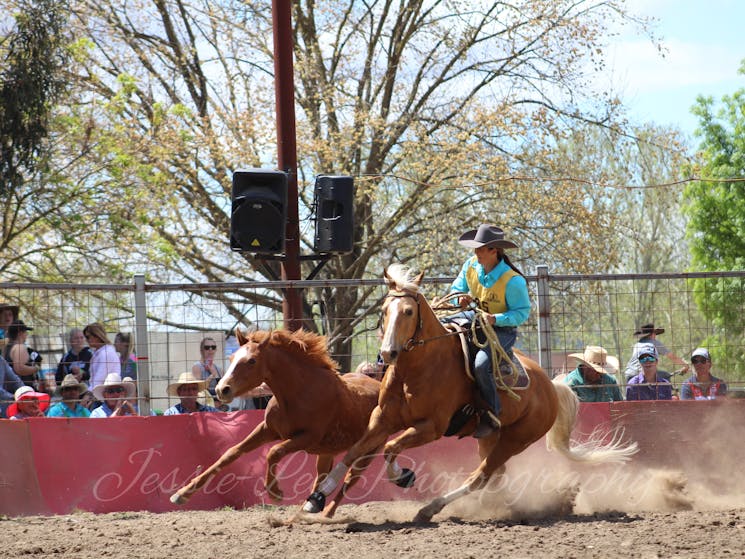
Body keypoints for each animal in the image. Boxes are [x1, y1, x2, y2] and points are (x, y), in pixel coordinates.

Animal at [169, 328, 378, 508]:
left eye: (252, 361)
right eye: (231, 358)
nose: (222, 389)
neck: (299, 393)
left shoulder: (308, 437)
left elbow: (274, 452)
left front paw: (275, 492)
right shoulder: (266, 429)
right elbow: (231, 453)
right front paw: (182, 493)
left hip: (365, 452)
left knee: (349, 479)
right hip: (326, 452)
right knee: (322, 477)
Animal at [306, 264, 636, 524]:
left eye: (409, 311)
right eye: (385, 310)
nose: (388, 352)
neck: (418, 370)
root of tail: (550, 386)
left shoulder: (431, 428)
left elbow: (389, 449)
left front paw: (404, 475)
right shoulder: (381, 420)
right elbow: (354, 455)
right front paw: (318, 499)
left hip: (517, 439)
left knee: (481, 476)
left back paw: (430, 509)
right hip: (490, 437)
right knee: (495, 475)